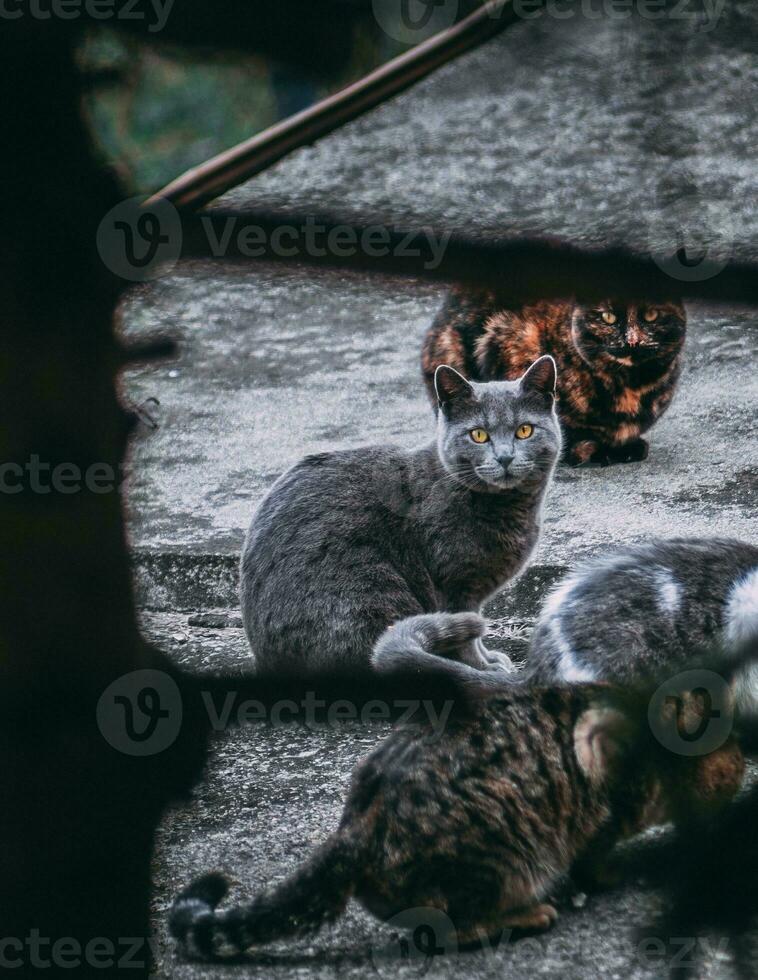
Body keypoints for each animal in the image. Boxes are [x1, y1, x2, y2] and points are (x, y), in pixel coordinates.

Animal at [171, 616, 744, 960]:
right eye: (731, 751)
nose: (740, 768)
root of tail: (354, 830)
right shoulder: (603, 802)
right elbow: (595, 852)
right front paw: (609, 872)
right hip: (506, 854)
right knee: (444, 929)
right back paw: (526, 914)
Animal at [240, 358, 560, 672]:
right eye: (478, 435)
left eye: (524, 430)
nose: (505, 457)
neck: (513, 508)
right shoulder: (454, 585)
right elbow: (467, 635)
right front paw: (483, 667)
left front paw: (490, 659)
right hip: (372, 590)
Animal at [422, 288, 688, 468]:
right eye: (608, 317)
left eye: (651, 315)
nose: (632, 341)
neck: (631, 386)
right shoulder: (504, 342)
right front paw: (592, 450)